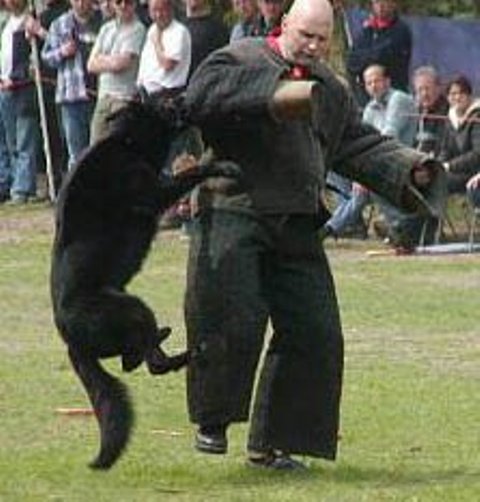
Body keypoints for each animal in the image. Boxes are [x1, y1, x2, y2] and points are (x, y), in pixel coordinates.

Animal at [50, 101, 239, 470]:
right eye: (164, 104)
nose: (183, 98)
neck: (126, 142)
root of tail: (70, 340)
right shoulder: (150, 189)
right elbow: (189, 173)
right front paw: (219, 164)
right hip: (131, 307)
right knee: (149, 363)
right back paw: (191, 350)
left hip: (130, 311)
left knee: (136, 361)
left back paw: (173, 345)